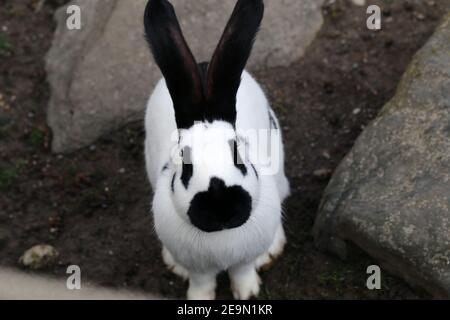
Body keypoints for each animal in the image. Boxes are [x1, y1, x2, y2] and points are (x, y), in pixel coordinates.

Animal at [145, 0, 292, 300]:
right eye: (185, 166)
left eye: (239, 157)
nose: (221, 208)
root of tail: (203, 65)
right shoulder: (198, 267)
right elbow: (201, 281)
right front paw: (199, 299)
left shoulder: (245, 256)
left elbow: (243, 270)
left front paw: (247, 293)